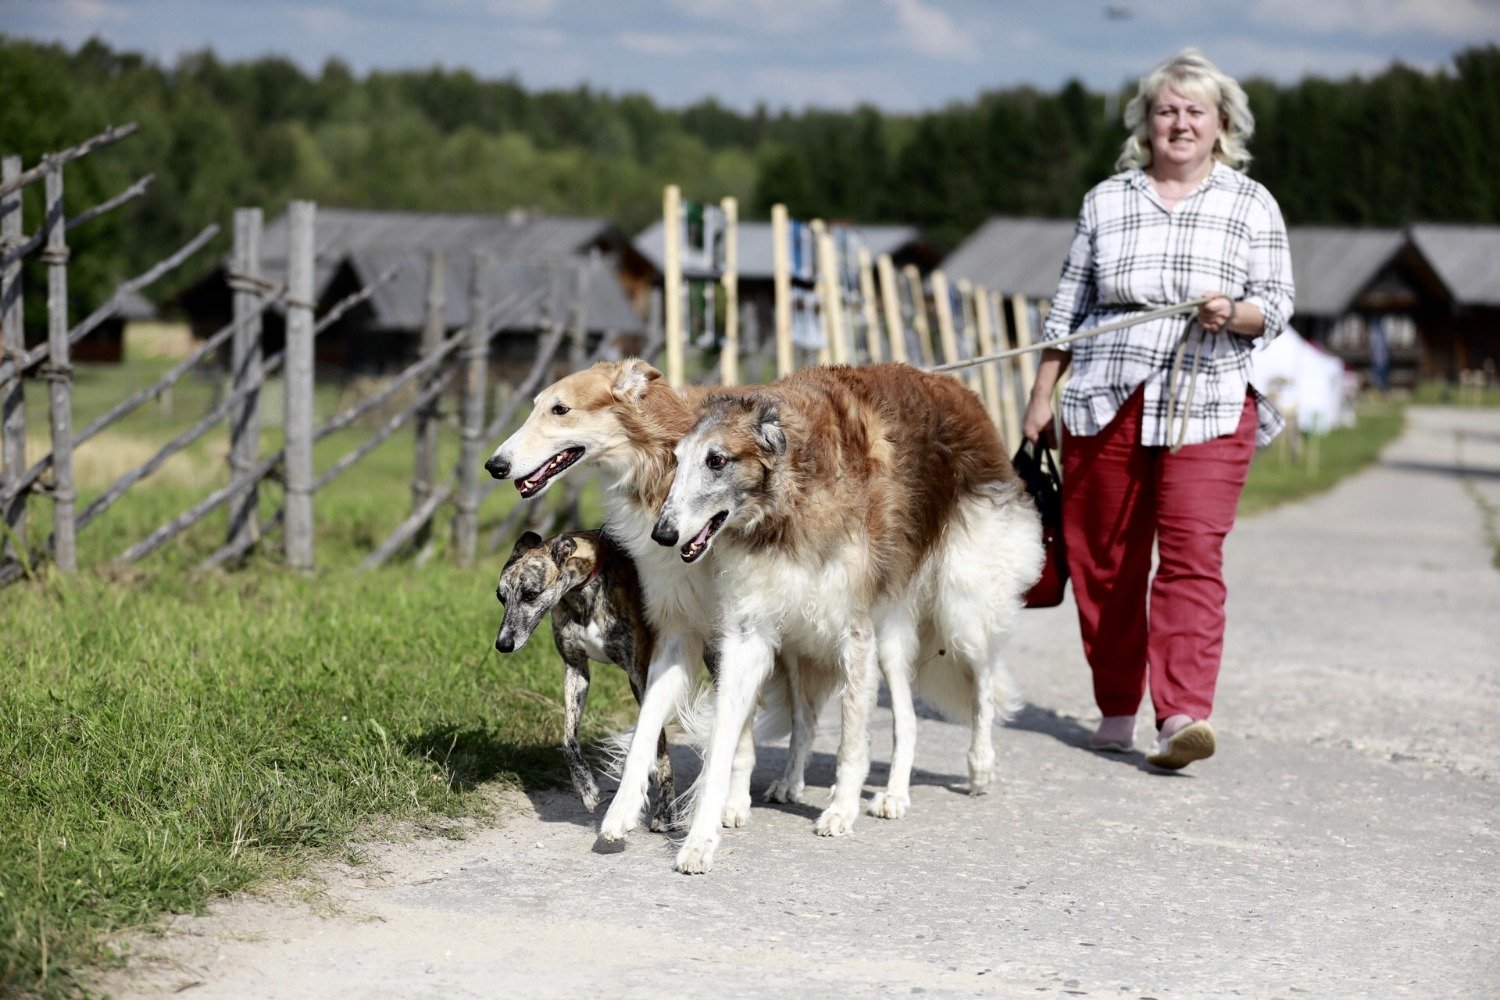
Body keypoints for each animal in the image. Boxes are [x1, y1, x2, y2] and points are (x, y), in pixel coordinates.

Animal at [492, 527, 681, 833]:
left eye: (531, 594)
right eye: (500, 597)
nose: (503, 644)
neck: (583, 592)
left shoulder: (642, 675)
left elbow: (661, 745)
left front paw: (666, 812)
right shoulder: (575, 669)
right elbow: (568, 739)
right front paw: (587, 788)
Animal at [651, 364, 1050, 869]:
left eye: (716, 460)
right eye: (677, 459)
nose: (662, 534)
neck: (790, 500)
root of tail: (964, 395)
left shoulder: (854, 634)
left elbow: (851, 742)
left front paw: (840, 811)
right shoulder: (749, 633)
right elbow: (726, 740)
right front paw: (701, 840)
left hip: (952, 611)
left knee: (973, 688)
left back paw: (967, 772)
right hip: (812, 643)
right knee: (824, 721)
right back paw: (808, 784)